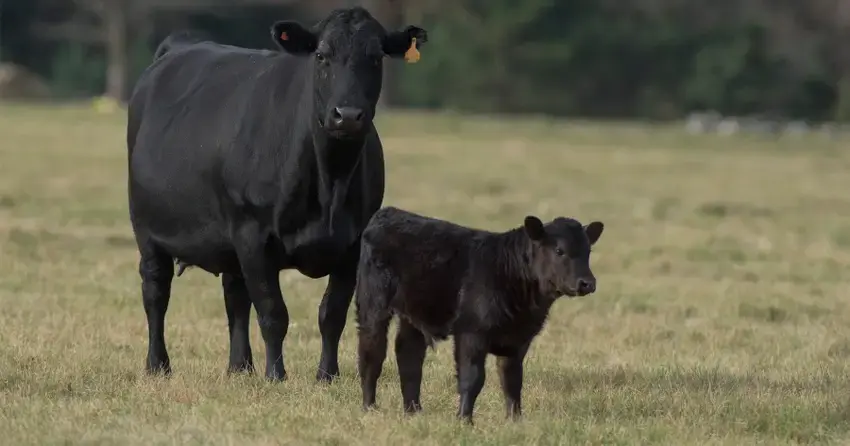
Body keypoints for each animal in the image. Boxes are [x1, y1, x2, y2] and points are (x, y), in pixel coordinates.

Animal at [126, 7, 427, 383]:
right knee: (156, 292)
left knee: (235, 296)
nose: (347, 115)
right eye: (321, 55)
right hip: (148, 231)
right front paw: (275, 375)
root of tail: (179, 45)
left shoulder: (352, 244)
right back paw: (158, 365)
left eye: (375, 58)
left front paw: (327, 376)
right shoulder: (253, 235)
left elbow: (332, 314)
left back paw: (240, 367)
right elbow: (273, 313)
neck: (329, 184)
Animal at [354, 206, 605, 423]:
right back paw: (369, 407)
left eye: (588, 251)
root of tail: (388, 213)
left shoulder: (518, 340)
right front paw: (465, 420)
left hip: (413, 315)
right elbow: (473, 378)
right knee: (372, 353)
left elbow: (512, 379)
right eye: (559, 250)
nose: (587, 283)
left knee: (409, 356)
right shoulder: (471, 332)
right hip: (372, 304)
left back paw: (413, 411)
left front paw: (514, 420)